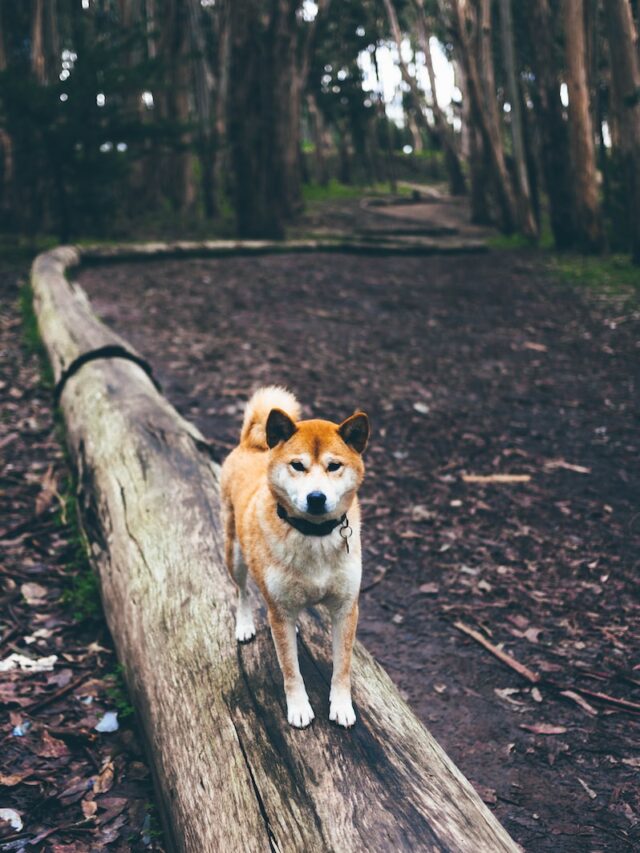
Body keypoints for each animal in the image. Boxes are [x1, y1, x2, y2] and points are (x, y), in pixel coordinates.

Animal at [220, 386, 370, 724]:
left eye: (334, 466)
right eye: (297, 465)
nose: (316, 498)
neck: (313, 535)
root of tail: (250, 444)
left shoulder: (346, 609)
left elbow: (342, 667)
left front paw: (342, 706)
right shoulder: (280, 612)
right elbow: (291, 670)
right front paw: (299, 707)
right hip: (235, 556)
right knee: (242, 591)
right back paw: (244, 624)